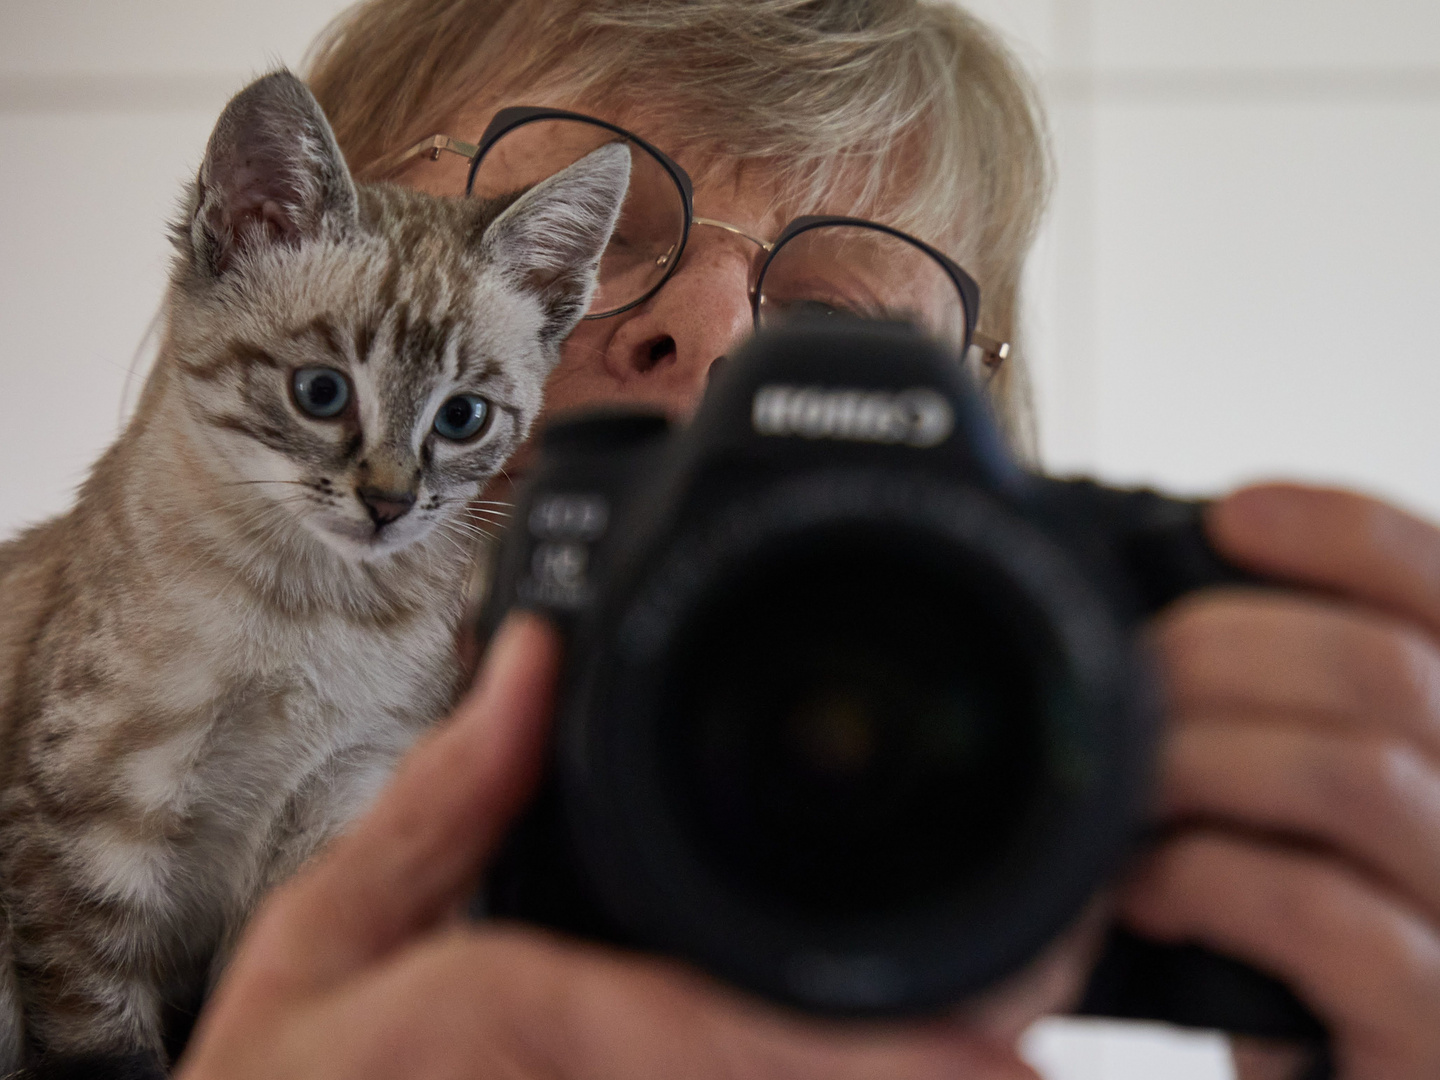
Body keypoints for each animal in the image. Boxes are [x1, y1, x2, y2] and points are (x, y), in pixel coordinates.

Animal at [0, 72, 624, 1077]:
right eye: (321, 393)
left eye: (463, 417)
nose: (389, 503)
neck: (316, 607)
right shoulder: (88, 823)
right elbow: (103, 1039)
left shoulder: (339, 803)